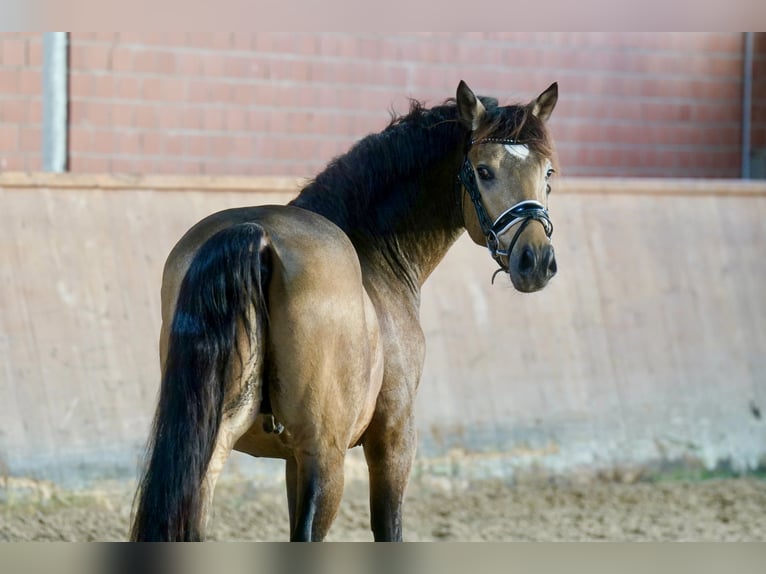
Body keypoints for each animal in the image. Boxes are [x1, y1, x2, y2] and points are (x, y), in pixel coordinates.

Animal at [132, 81, 560, 544]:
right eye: (483, 171)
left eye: (548, 173)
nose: (535, 261)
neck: (371, 252)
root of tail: (256, 232)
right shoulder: (393, 439)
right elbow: (388, 527)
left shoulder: (292, 458)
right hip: (326, 456)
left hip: (210, 446)